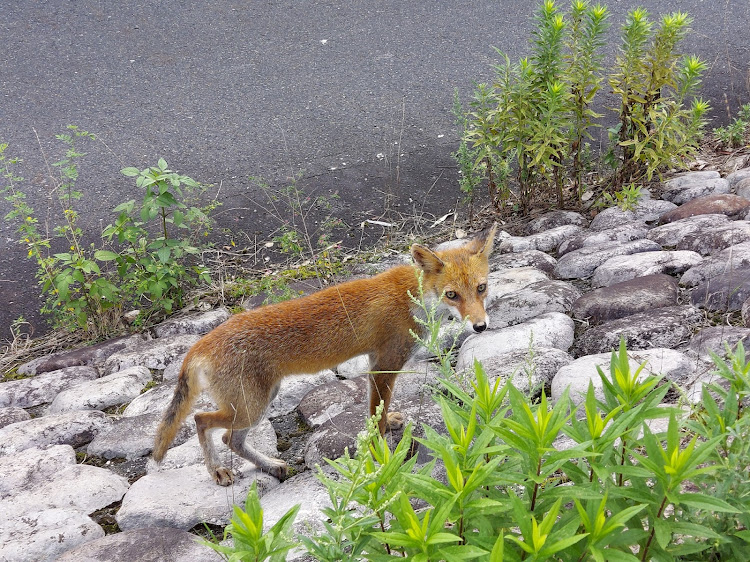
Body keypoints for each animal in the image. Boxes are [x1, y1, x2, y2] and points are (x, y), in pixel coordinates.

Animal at [153, 221, 500, 484]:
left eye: (481, 288)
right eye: (452, 295)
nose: (481, 326)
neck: (412, 296)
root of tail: (199, 344)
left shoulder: (375, 362)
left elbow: (378, 410)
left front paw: (388, 423)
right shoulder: (385, 365)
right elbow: (376, 416)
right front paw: (381, 454)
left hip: (259, 401)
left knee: (230, 439)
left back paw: (271, 466)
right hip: (250, 407)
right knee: (200, 420)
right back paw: (217, 470)